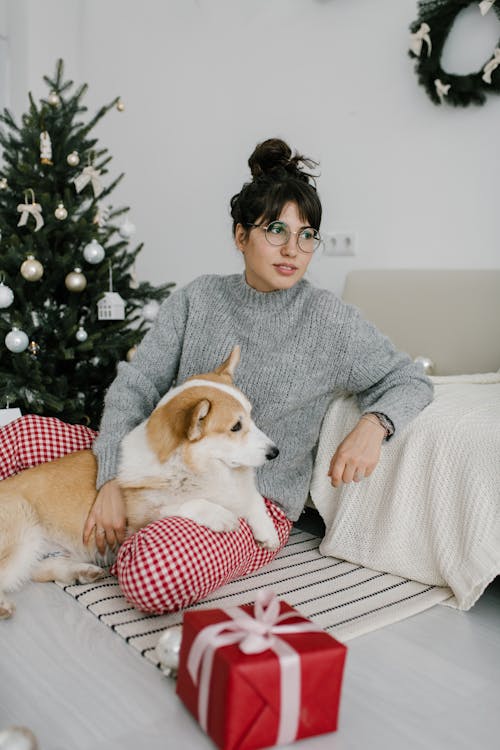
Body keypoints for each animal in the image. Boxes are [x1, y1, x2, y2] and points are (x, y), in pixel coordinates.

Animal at [0, 350, 280, 620]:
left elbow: (252, 497)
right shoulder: (139, 518)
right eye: (236, 426)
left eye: (251, 417)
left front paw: (267, 530)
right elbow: (184, 503)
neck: (197, 469)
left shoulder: (237, 487)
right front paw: (219, 514)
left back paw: (81, 572)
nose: (275, 452)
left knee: (37, 570)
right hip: (24, 537)